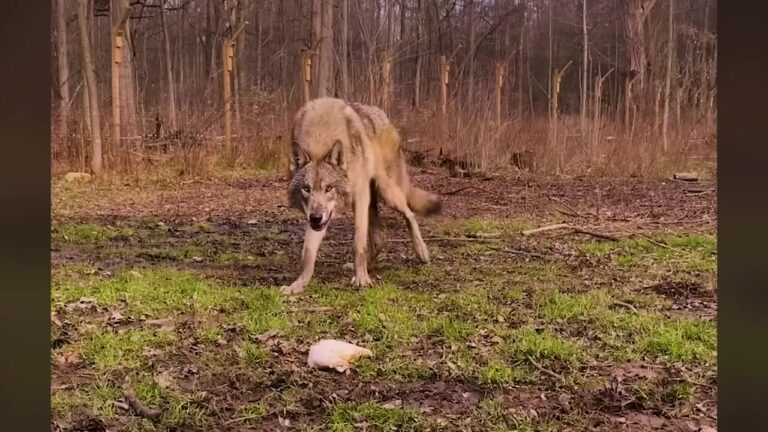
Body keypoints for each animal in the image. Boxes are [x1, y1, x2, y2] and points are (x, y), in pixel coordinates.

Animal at [280, 97, 441, 294]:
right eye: (306, 188)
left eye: (329, 188)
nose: (316, 217)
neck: (321, 136)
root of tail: (381, 114)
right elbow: (308, 254)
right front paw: (297, 285)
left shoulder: (360, 197)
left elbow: (358, 244)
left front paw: (362, 279)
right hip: (372, 202)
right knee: (380, 238)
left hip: (385, 192)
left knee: (409, 213)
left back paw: (422, 252)